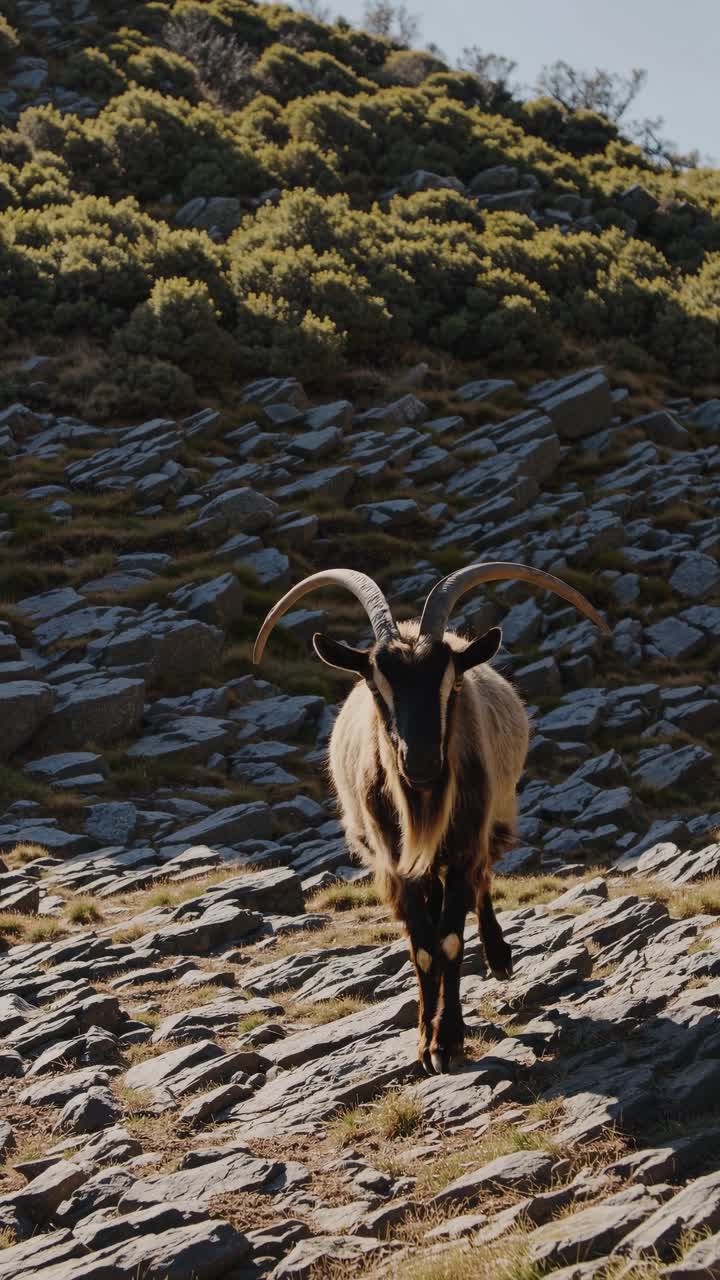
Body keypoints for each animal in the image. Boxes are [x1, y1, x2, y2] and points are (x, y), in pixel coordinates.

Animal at [254, 562, 609, 1074]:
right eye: (375, 685)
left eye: (451, 683)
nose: (421, 763)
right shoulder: (394, 863)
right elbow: (423, 948)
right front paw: (425, 1040)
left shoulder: (463, 846)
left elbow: (449, 940)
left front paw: (448, 1041)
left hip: (491, 821)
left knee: (483, 881)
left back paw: (499, 956)